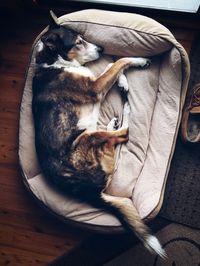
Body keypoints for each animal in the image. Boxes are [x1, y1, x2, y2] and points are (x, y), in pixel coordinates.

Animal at [32, 10, 166, 258]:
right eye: (78, 42)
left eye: (83, 37)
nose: (102, 49)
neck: (53, 62)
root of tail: (90, 192)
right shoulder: (94, 87)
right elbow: (118, 62)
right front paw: (137, 61)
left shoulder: (97, 81)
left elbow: (113, 64)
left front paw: (122, 79)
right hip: (84, 138)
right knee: (126, 133)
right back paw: (125, 109)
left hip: (95, 141)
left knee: (113, 138)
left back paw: (113, 118)